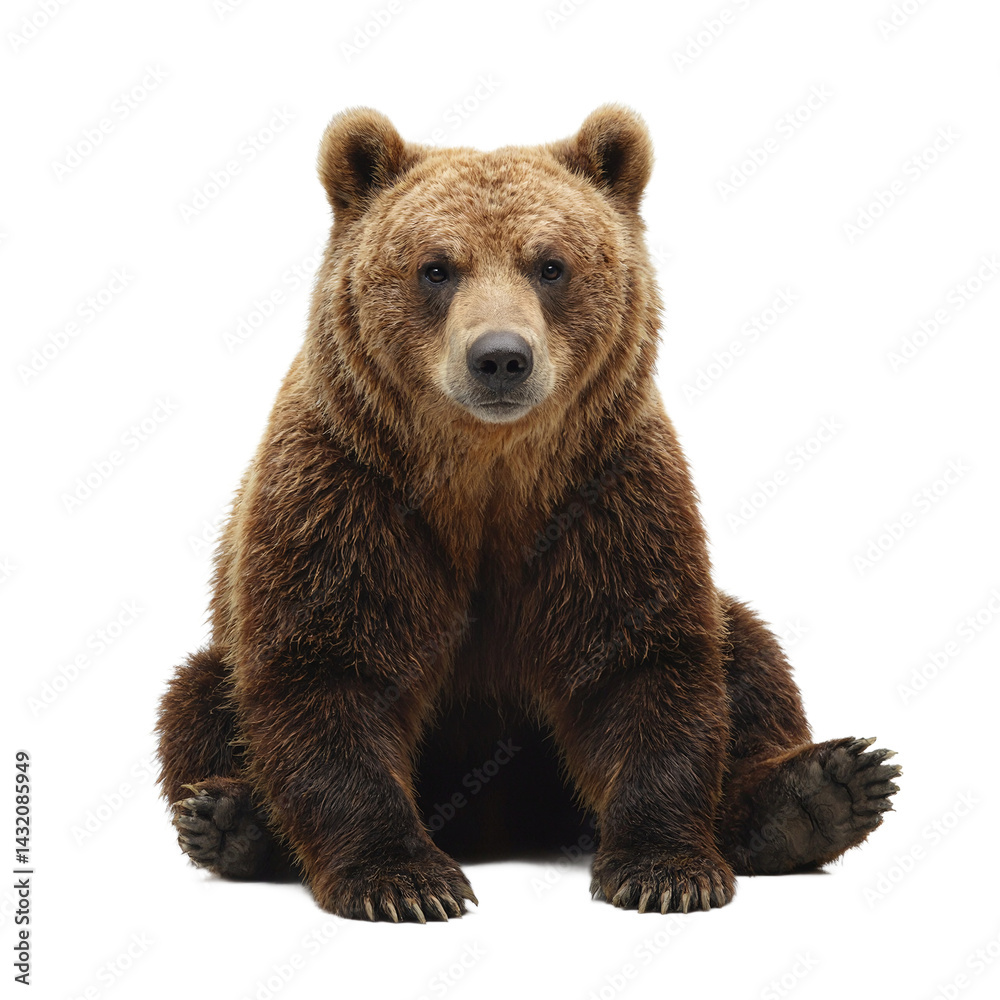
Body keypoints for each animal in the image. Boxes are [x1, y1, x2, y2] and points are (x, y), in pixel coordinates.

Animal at [156, 105, 900, 922]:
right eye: (437, 267)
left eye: (549, 265)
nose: (501, 357)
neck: (488, 472)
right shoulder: (349, 494)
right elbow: (328, 670)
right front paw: (405, 881)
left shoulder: (606, 495)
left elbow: (643, 662)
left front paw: (666, 869)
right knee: (197, 699)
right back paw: (230, 820)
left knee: (753, 654)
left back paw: (822, 794)